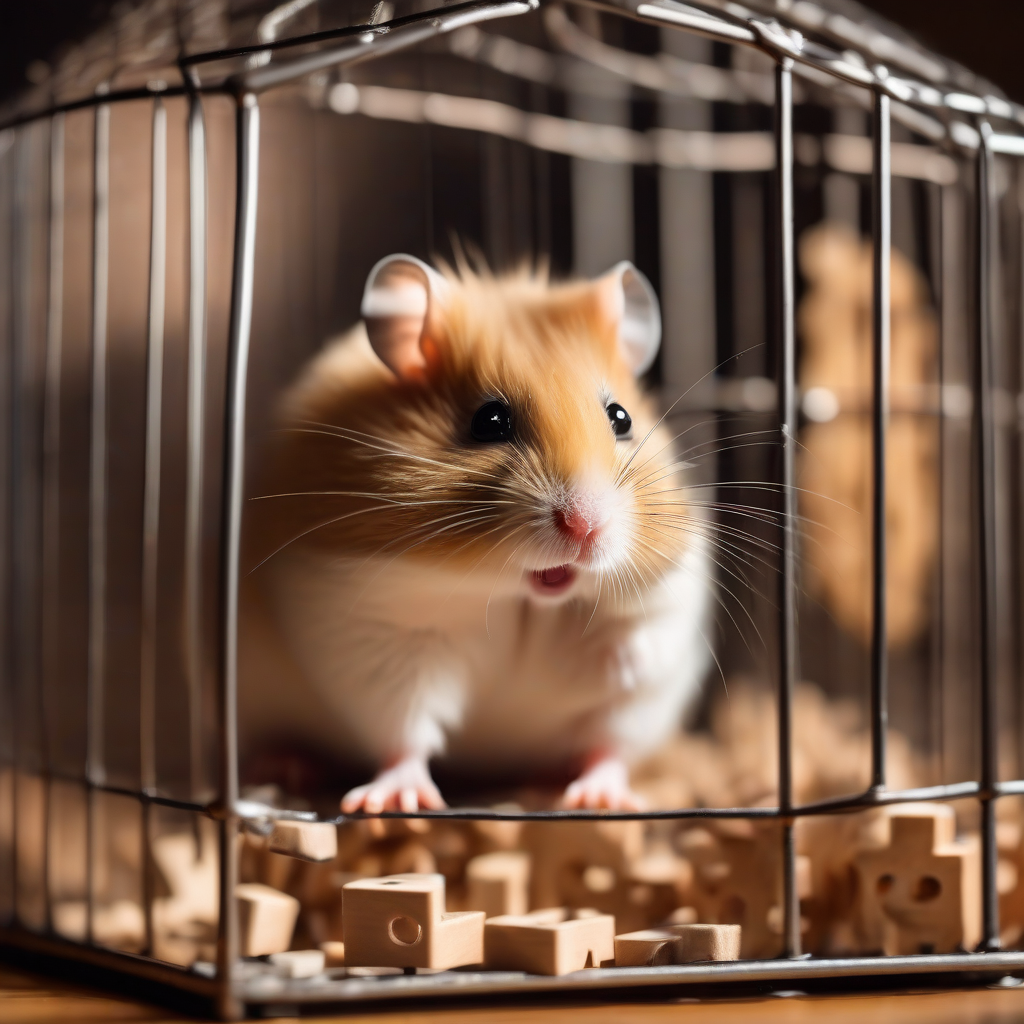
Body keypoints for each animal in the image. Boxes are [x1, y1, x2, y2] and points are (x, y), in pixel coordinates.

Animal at [253, 255, 711, 813]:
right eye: (489, 421)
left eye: (620, 418)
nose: (585, 525)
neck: (521, 596)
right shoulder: (381, 635)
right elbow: (403, 727)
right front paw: (393, 802)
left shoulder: (648, 632)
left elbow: (612, 727)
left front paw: (600, 801)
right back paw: (285, 766)